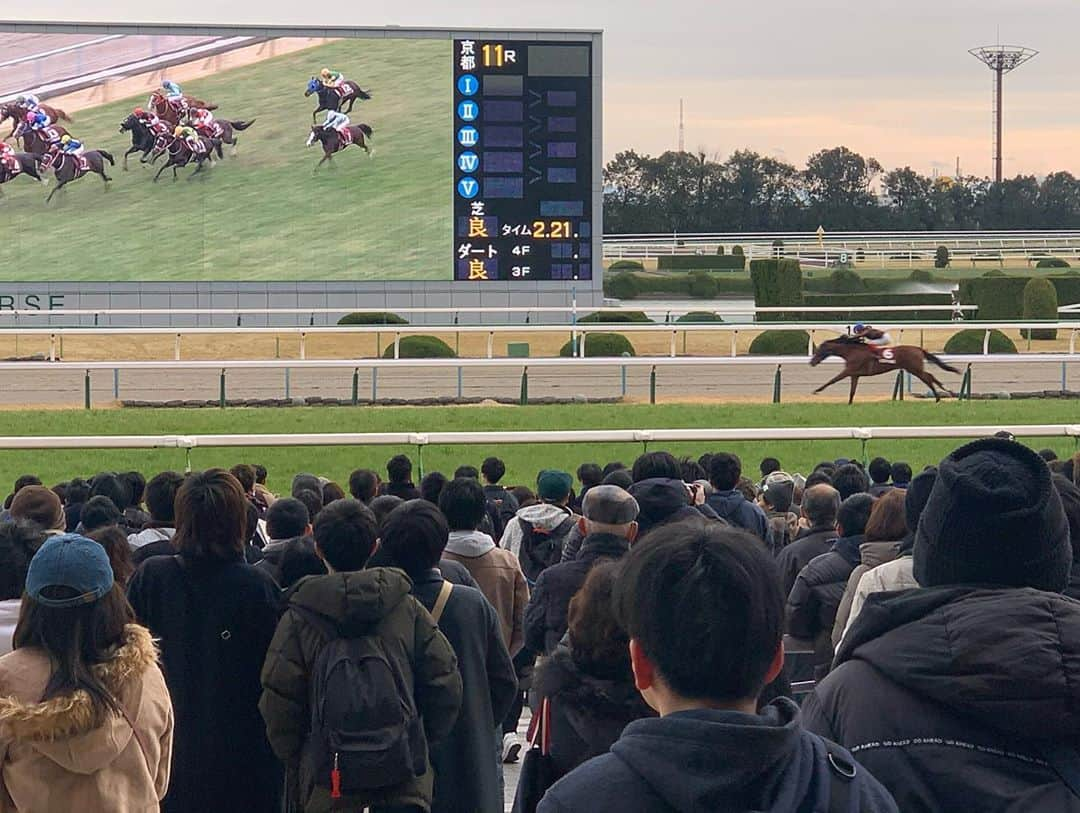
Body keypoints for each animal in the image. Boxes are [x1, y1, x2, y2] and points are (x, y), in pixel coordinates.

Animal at [807, 332, 959, 403]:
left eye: (819, 351)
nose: (812, 362)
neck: (851, 351)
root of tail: (918, 348)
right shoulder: (854, 374)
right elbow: (852, 391)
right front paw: (849, 403)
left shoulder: (848, 371)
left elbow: (832, 380)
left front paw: (816, 390)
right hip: (914, 369)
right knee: (930, 376)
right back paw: (945, 392)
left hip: (914, 369)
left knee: (928, 378)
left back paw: (939, 396)